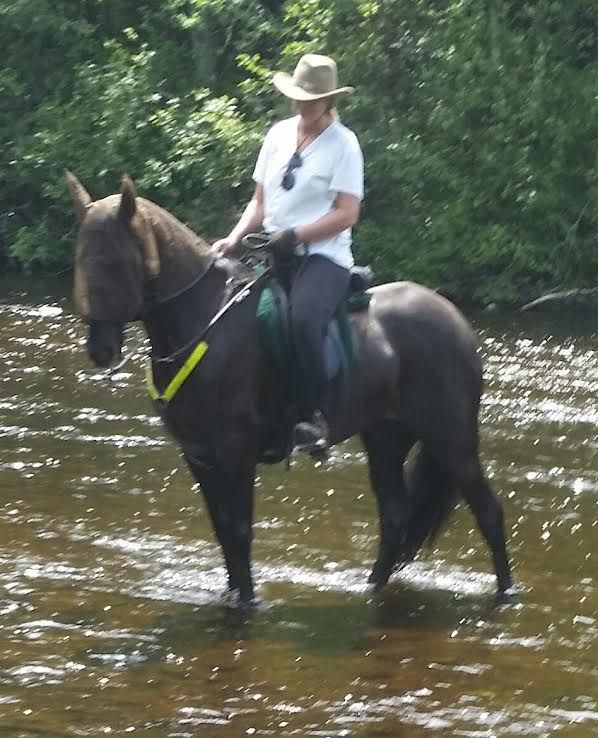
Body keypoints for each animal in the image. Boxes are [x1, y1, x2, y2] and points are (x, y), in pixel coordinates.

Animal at [66, 171, 513, 605]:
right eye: (81, 256)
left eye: (111, 260)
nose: (100, 350)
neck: (204, 322)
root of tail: (455, 317)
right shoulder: (199, 454)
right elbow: (222, 531)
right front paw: (232, 594)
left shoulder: (235, 451)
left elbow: (239, 530)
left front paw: (247, 602)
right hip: (386, 436)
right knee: (395, 517)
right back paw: (370, 589)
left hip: (452, 440)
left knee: (489, 512)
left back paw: (506, 595)